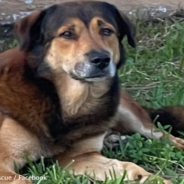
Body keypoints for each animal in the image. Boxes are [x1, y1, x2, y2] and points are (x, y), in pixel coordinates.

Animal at [0, 0, 183, 183]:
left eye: (106, 31)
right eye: (67, 34)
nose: (101, 59)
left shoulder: (80, 156)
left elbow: (128, 166)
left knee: (161, 134)